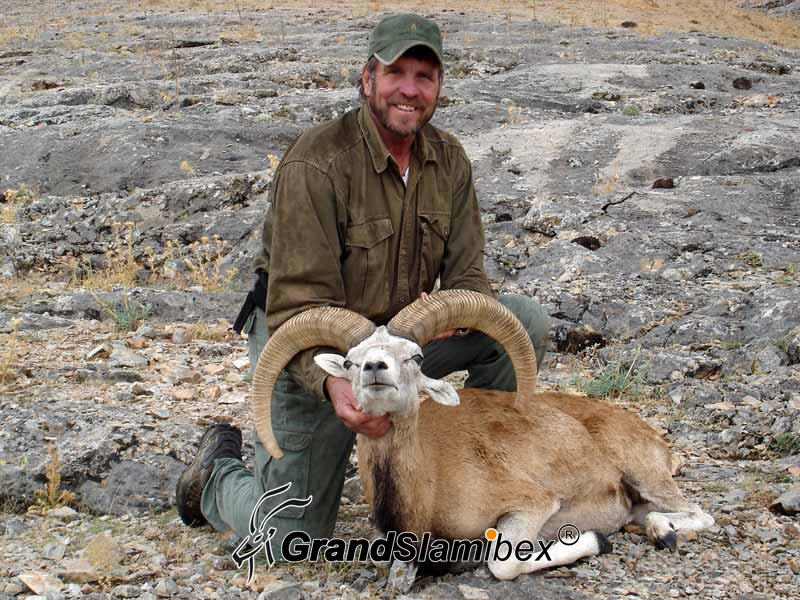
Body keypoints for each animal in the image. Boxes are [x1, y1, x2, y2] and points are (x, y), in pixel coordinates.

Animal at [250, 290, 714, 581]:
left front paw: (595, 540)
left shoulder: (531, 506)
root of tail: (649, 435)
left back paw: (663, 532)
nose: (374, 368)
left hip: (646, 476)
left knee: (697, 513)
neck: (428, 487)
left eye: (415, 356)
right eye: (349, 361)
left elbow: (501, 564)